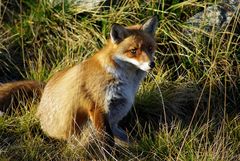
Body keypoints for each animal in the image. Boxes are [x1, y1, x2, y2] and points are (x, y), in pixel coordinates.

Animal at [0, 17, 158, 147]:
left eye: (150, 48)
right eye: (133, 51)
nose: (152, 64)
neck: (126, 81)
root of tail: (45, 87)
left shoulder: (114, 117)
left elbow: (120, 139)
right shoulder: (98, 106)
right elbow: (106, 142)